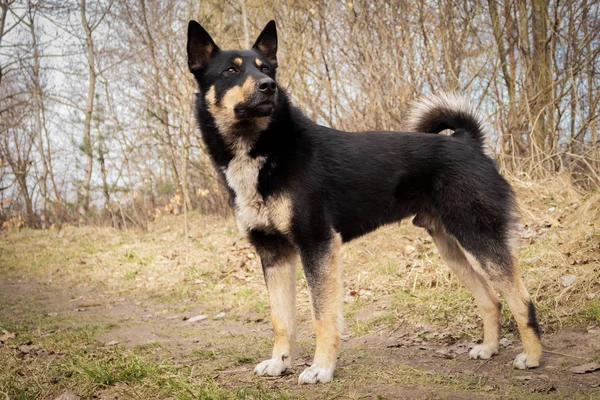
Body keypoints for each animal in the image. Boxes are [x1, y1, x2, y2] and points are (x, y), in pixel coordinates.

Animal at [185, 19, 540, 384]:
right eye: (231, 70)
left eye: (266, 68)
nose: (269, 86)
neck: (264, 150)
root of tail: (467, 141)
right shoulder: (273, 253)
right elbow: (281, 320)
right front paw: (279, 362)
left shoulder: (318, 245)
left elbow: (323, 317)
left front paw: (321, 368)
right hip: (453, 246)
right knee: (491, 300)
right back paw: (490, 348)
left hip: (478, 237)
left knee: (522, 300)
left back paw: (532, 357)